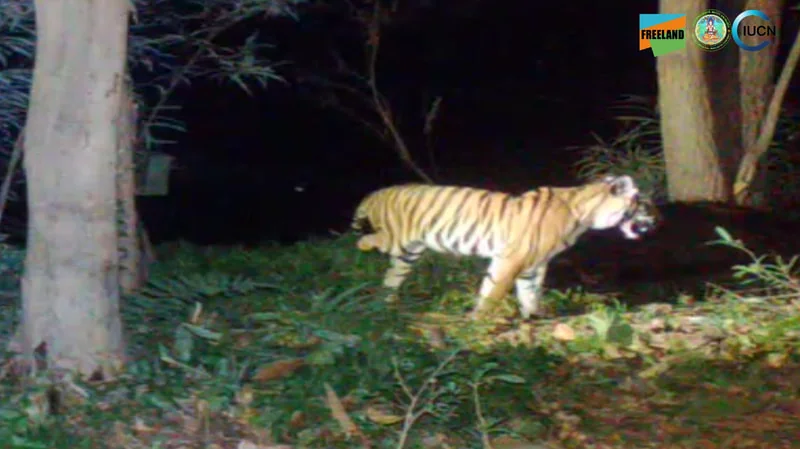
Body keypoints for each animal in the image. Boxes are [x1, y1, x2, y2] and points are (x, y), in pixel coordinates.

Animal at [351, 175, 659, 319]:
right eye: (645, 204)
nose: (660, 218)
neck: (584, 215)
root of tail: (375, 192)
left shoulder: (533, 264)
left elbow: (530, 292)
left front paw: (534, 316)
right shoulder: (512, 258)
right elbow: (494, 291)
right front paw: (479, 321)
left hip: (408, 255)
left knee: (390, 280)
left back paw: (382, 305)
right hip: (398, 240)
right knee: (367, 240)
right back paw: (363, 246)